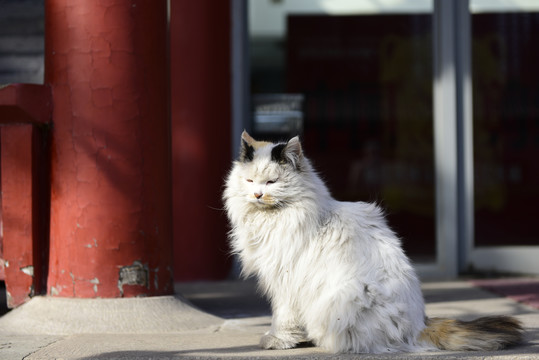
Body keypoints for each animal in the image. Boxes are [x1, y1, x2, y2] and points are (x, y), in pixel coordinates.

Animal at [223, 131, 524, 352]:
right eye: (250, 181)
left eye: (271, 182)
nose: (258, 195)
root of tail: (419, 326)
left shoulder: (285, 282)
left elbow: (282, 318)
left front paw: (277, 340)